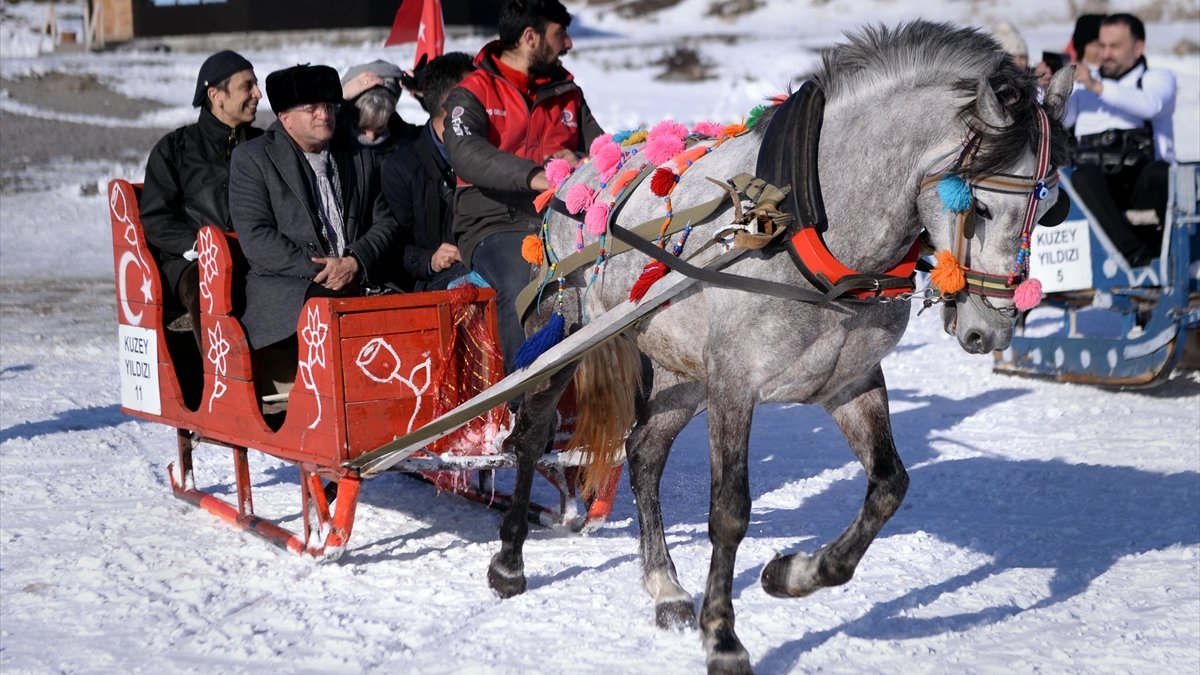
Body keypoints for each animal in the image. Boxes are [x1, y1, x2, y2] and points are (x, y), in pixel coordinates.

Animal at [482, 22, 1075, 672]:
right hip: (571, 333)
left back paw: (665, 586)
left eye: (1049, 209)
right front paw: (722, 636)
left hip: (681, 370)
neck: (804, 224)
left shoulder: (850, 382)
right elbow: (729, 512)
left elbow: (889, 487)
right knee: (533, 432)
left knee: (644, 452)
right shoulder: (735, 384)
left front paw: (791, 574)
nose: (991, 331)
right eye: (979, 206)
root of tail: (576, 173)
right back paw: (509, 562)